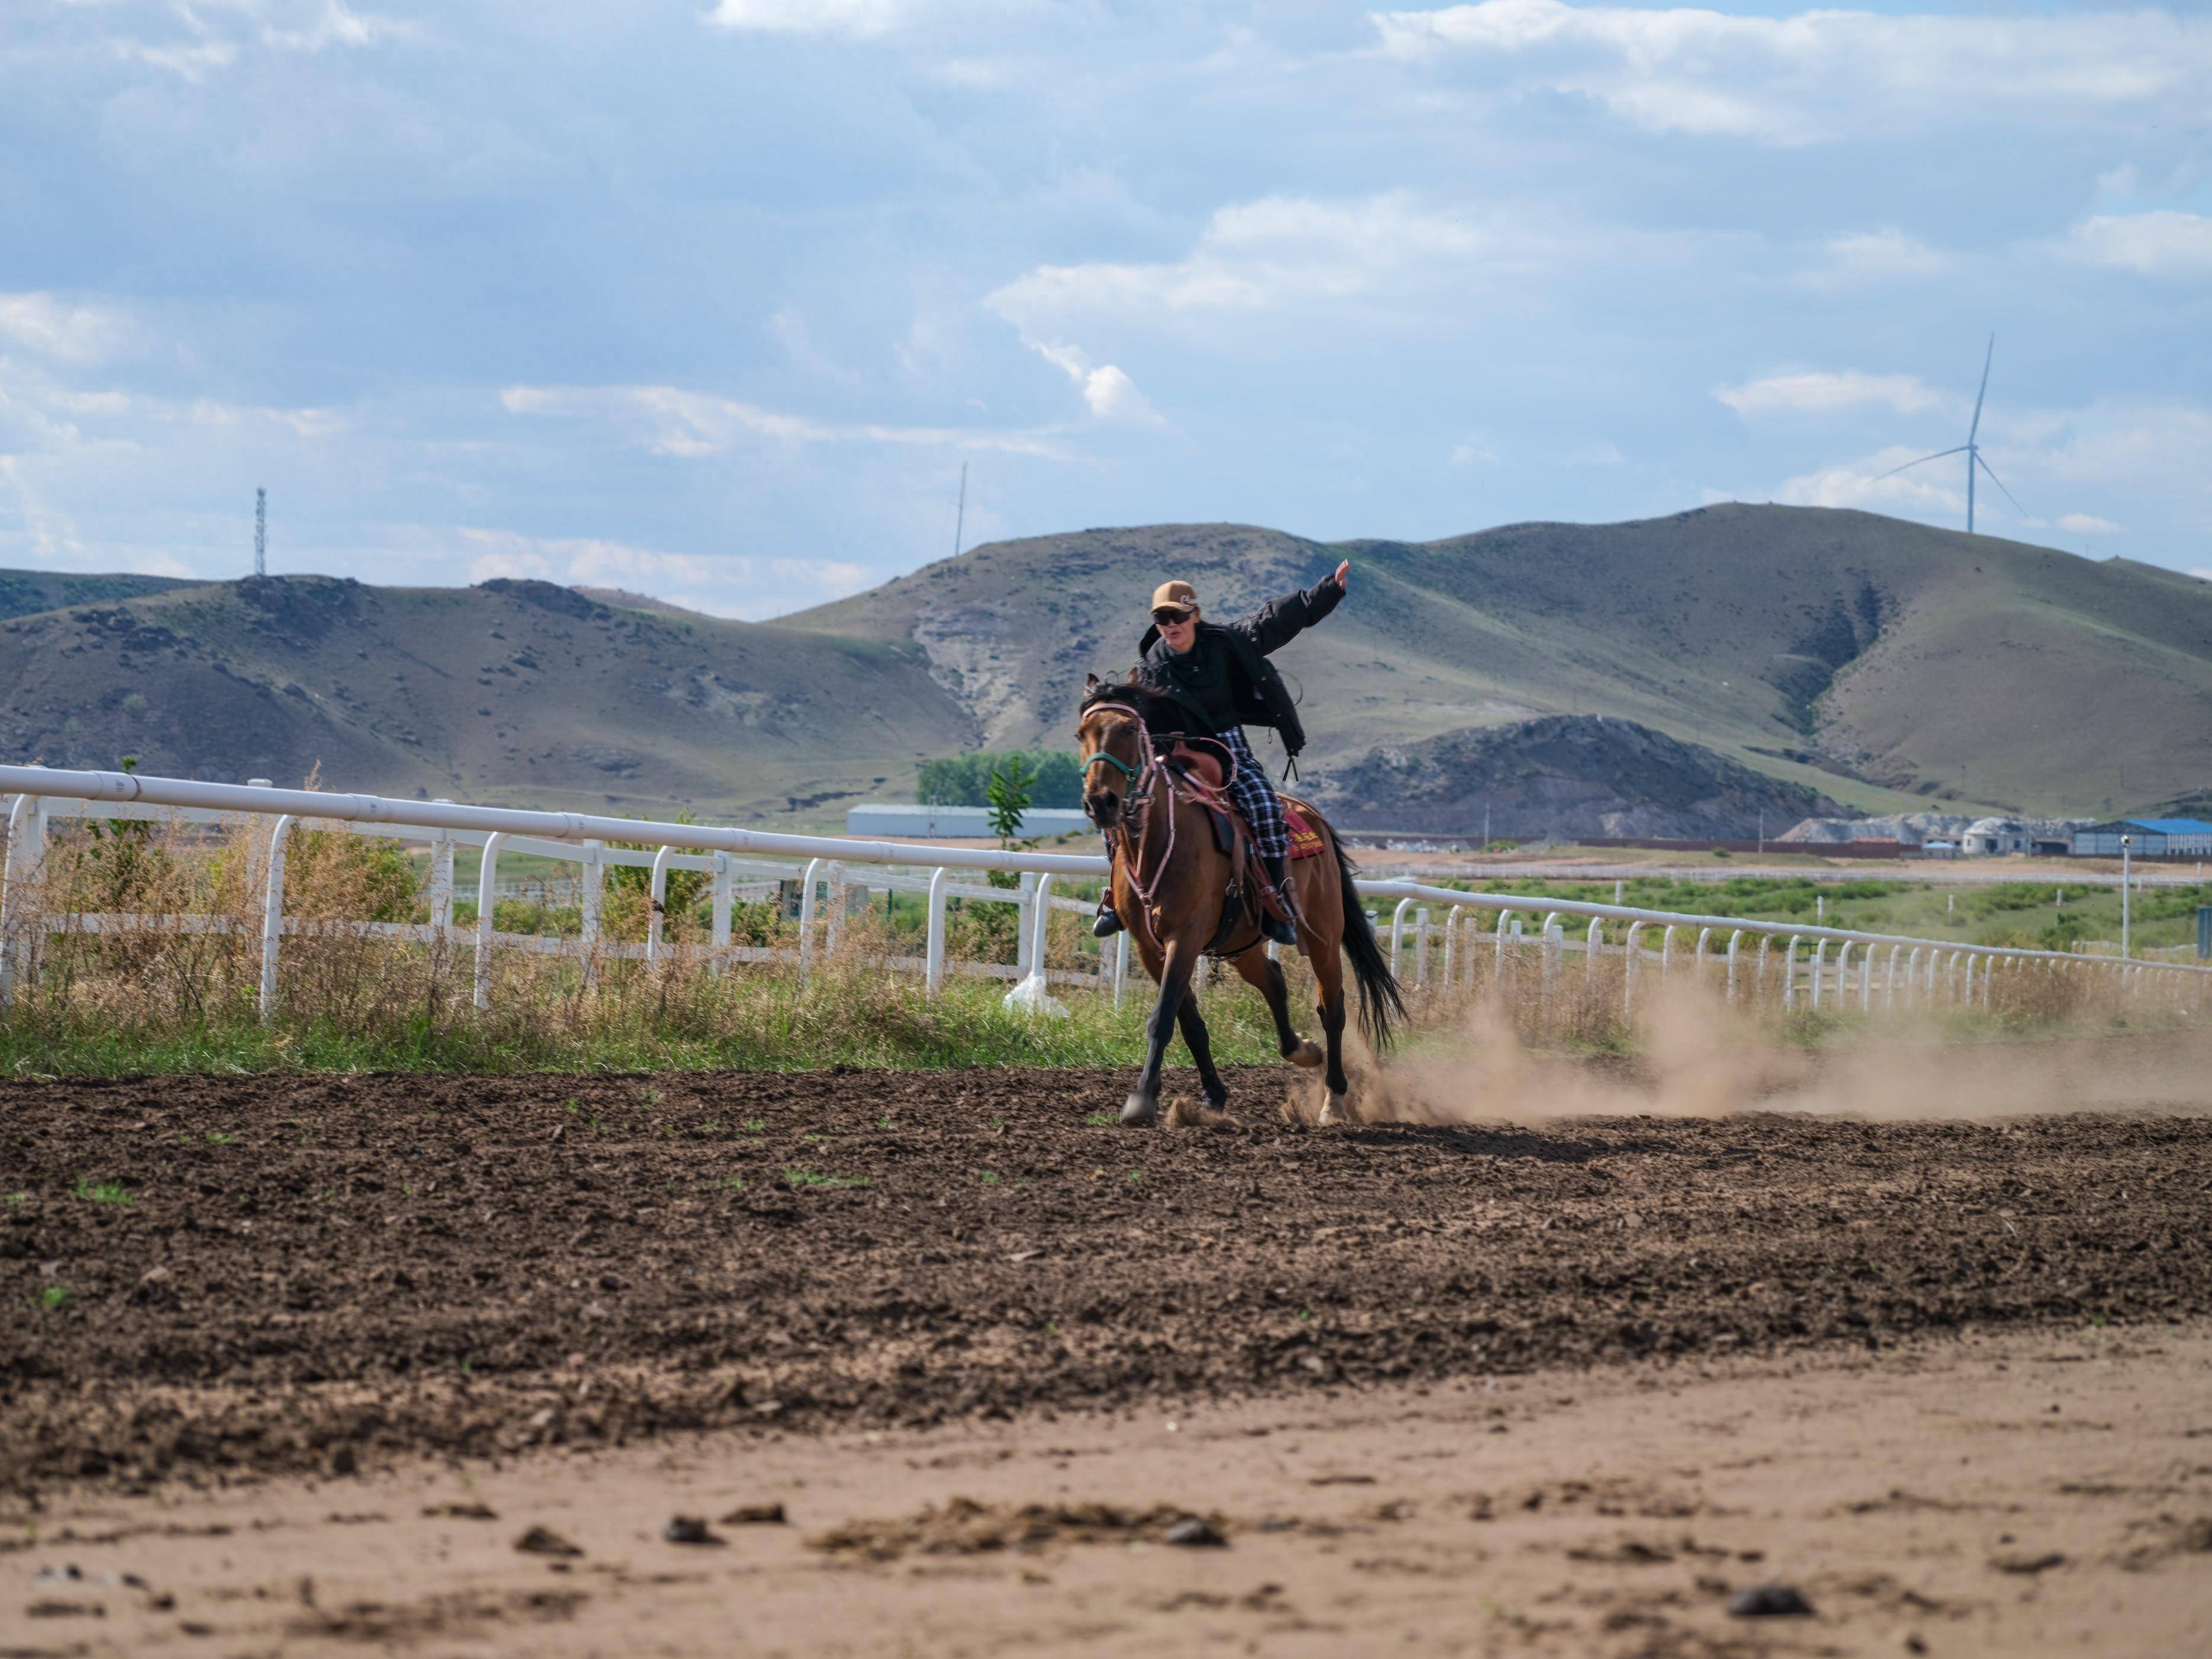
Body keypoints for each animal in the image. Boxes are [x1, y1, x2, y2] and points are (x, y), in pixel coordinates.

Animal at [1070, 677, 1398, 1132]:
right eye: (1081, 734)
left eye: (1130, 729)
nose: (1101, 802)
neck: (1157, 843)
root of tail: (1310, 815)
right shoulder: (1150, 947)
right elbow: (1189, 1022)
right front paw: (1212, 1098)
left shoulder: (1185, 938)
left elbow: (1162, 1018)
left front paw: (1142, 1098)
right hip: (1239, 945)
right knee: (1273, 980)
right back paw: (1302, 1051)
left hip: (1323, 938)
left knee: (1332, 1009)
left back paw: (1333, 1101)